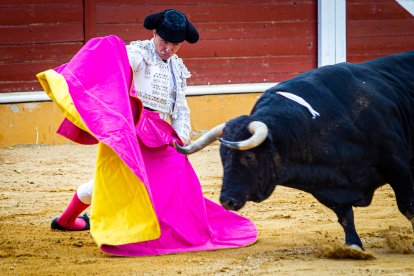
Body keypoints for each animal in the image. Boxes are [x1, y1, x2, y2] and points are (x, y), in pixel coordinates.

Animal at [175, 50, 414, 250]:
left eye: (249, 155)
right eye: (223, 157)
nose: (227, 201)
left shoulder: (398, 165)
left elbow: (407, 207)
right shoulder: (327, 184)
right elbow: (345, 216)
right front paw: (354, 247)